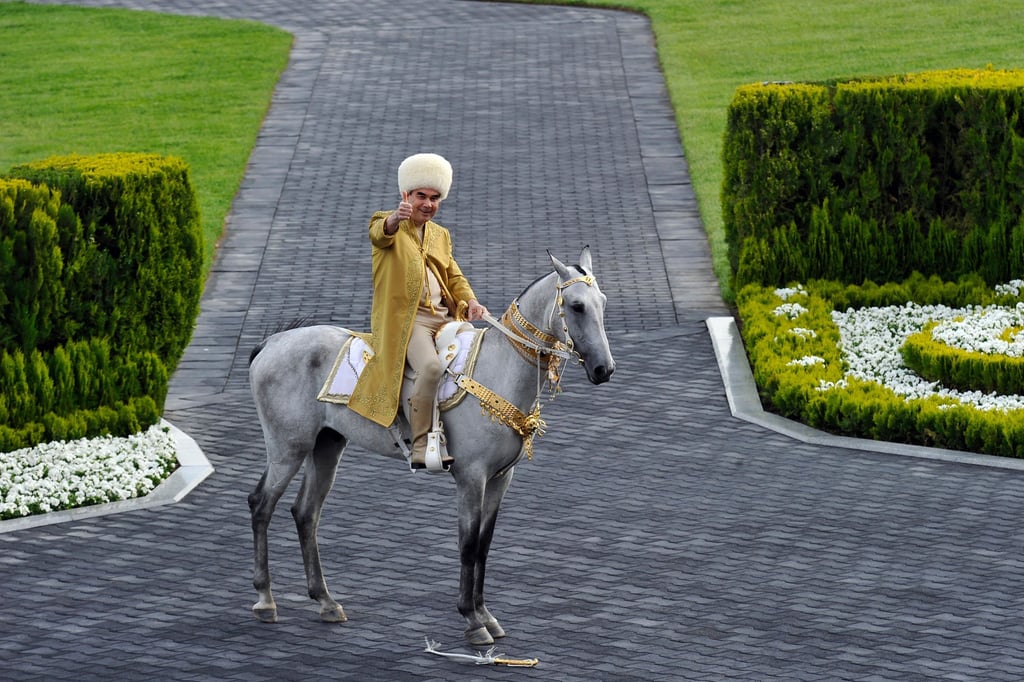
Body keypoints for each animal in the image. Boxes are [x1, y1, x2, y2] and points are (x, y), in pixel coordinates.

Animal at [247, 246, 615, 645]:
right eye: (576, 306)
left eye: (603, 303)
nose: (604, 369)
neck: (496, 370)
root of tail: (272, 342)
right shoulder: (471, 478)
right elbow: (468, 544)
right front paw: (472, 620)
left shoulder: (501, 478)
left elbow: (484, 544)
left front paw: (487, 615)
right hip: (287, 448)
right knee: (261, 505)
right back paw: (265, 600)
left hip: (326, 446)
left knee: (305, 513)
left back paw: (326, 602)